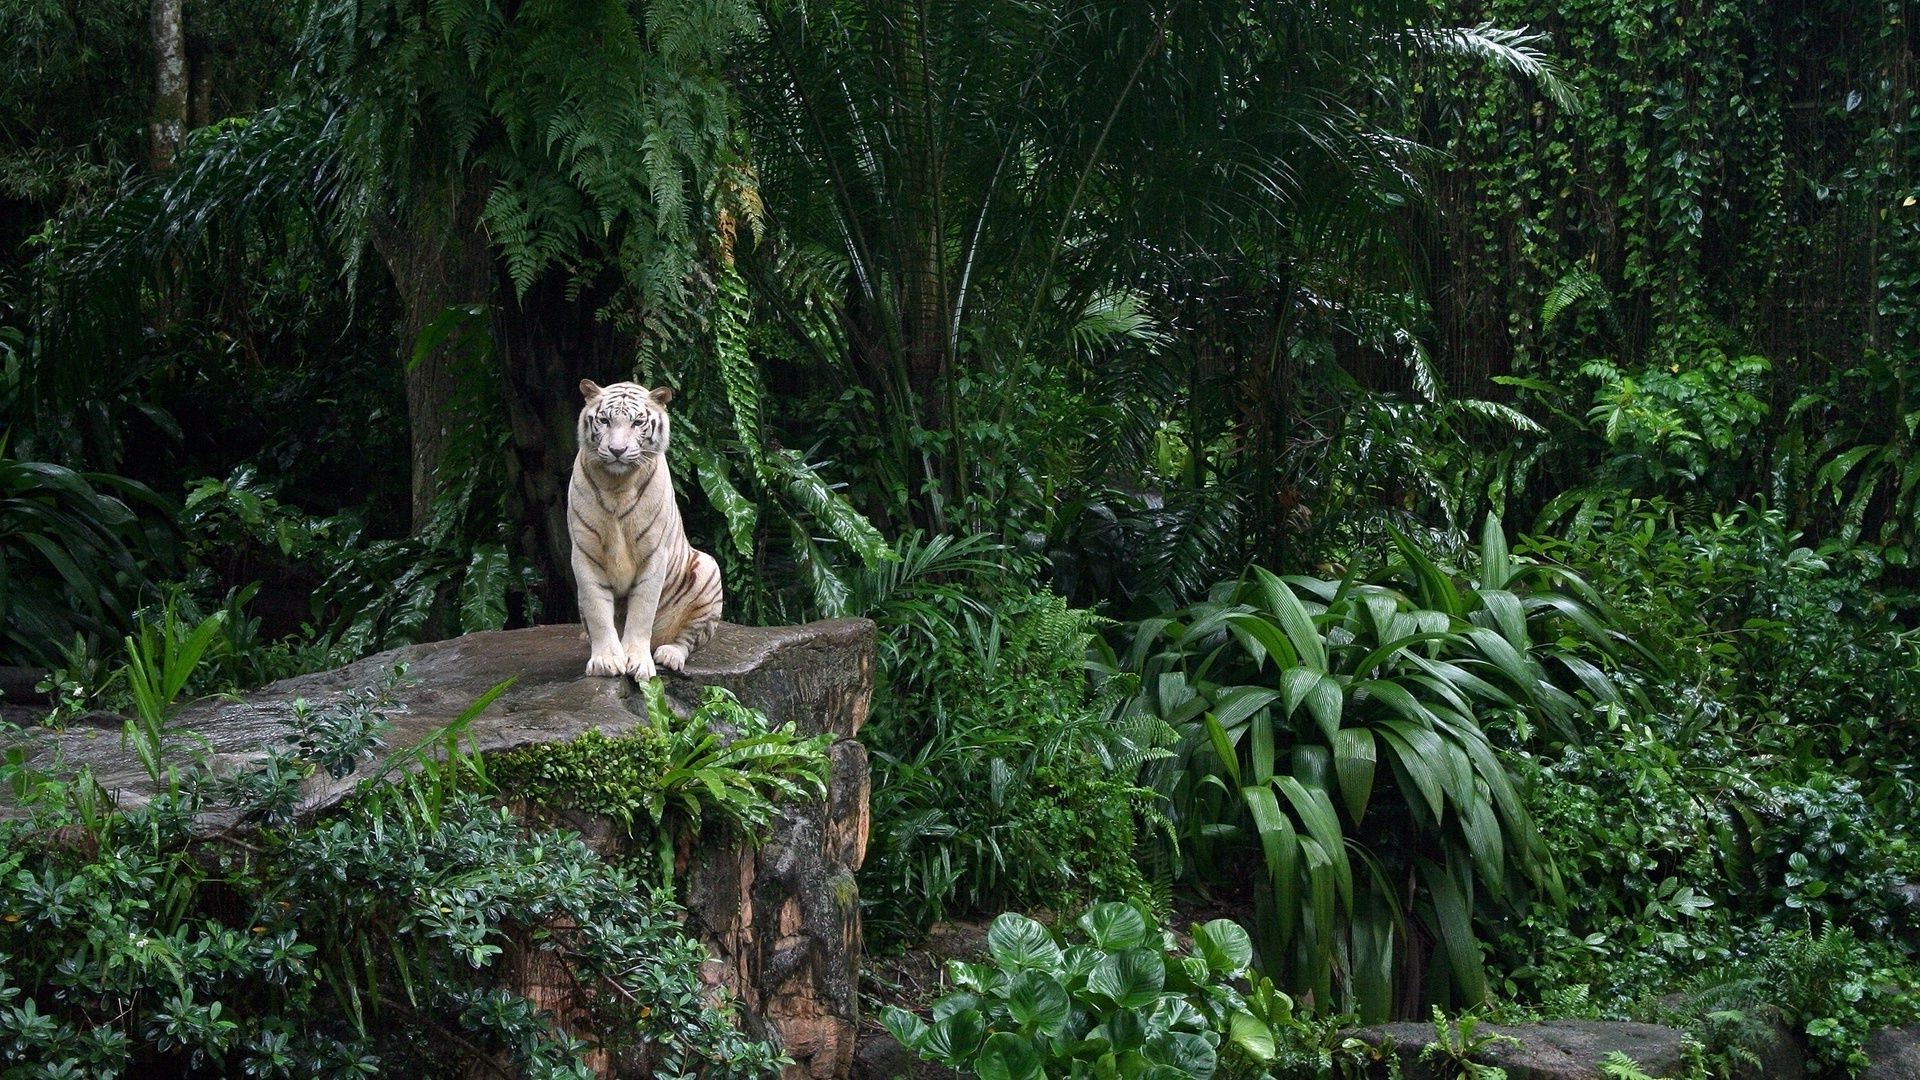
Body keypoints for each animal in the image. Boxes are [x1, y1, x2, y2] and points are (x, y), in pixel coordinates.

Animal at [568, 380, 725, 672]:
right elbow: (597, 610)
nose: (617, 451)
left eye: (637, 422)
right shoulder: (585, 553)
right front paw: (606, 660)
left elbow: (642, 611)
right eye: (604, 421)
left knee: (688, 639)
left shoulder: (654, 554)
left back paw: (669, 655)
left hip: (709, 570)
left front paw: (638, 662)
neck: (616, 485)